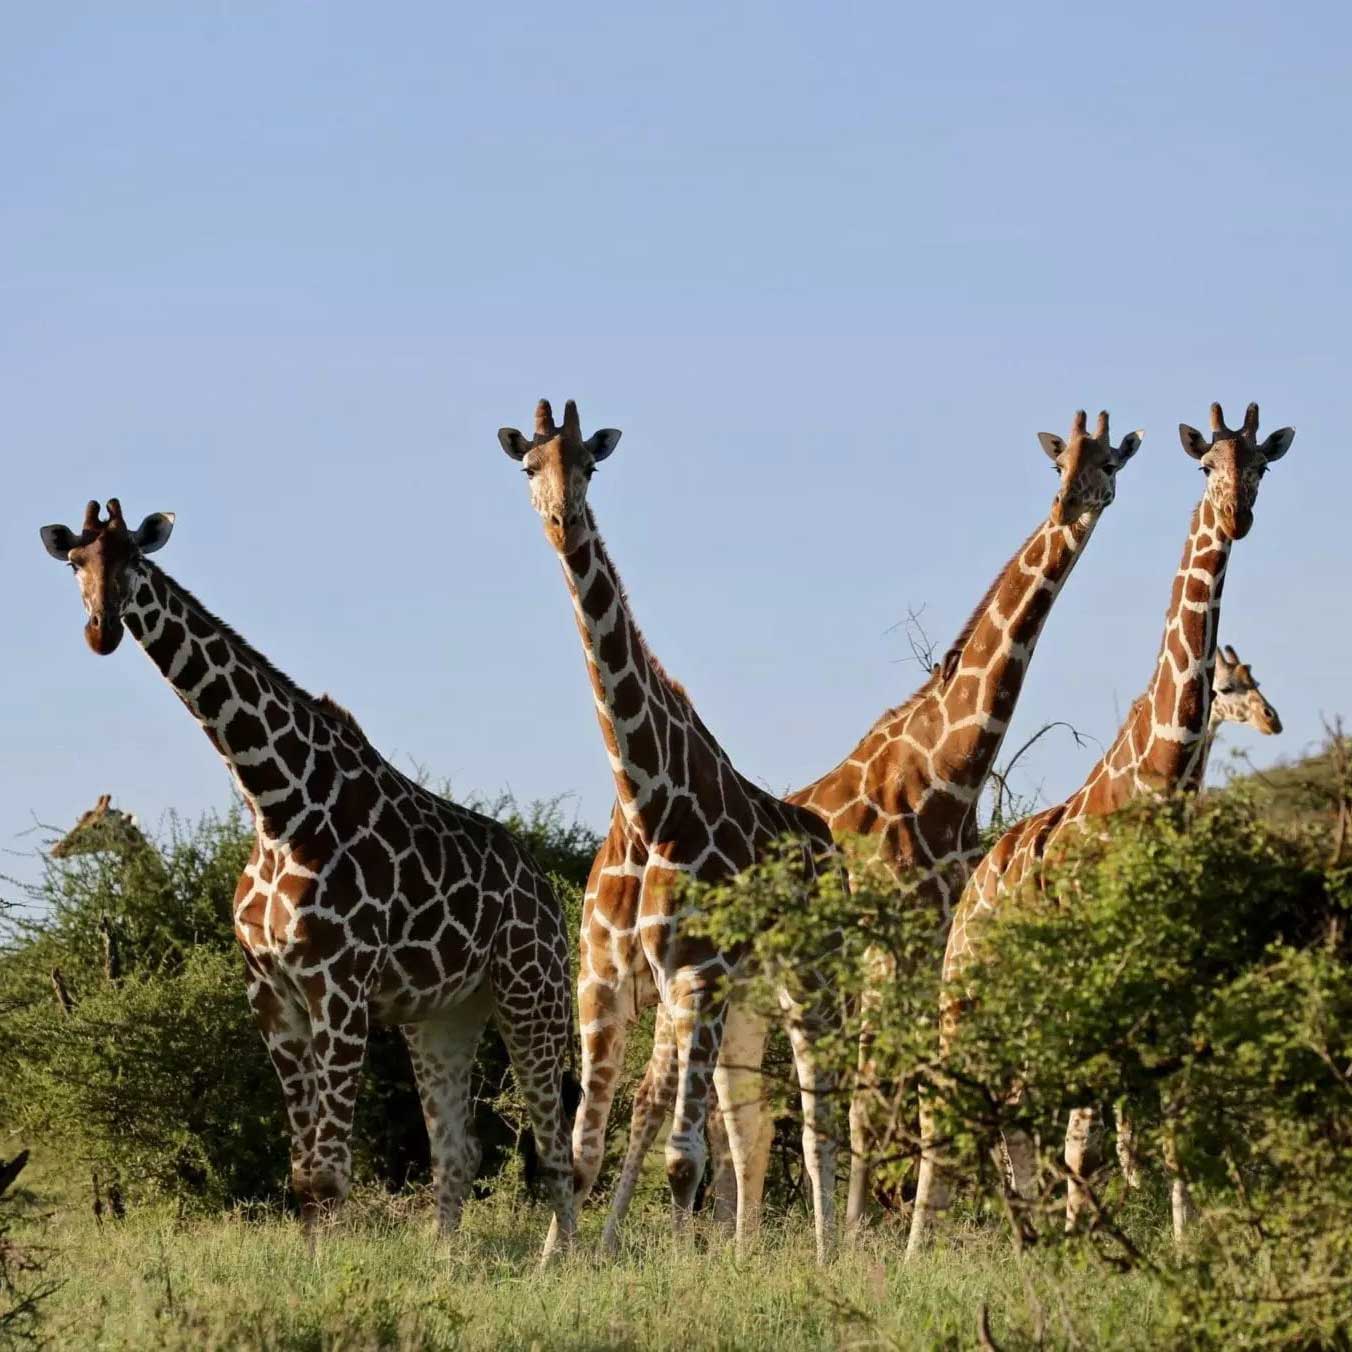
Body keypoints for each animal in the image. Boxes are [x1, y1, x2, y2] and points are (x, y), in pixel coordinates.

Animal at [37, 497, 575, 1254]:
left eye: (135, 560)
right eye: (76, 562)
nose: (101, 630)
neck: (278, 805)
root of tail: (547, 893)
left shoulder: (339, 990)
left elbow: (329, 1167)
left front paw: (331, 1271)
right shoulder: (272, 997)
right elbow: (301, 1171)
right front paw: (314, 1262)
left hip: (532, 992)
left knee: (556, 1141)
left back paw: (563, 1261)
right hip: (444, 1014)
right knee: (458, 1148)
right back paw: (445, 1260)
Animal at [497, 394, 838, 1260]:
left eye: (590, 463)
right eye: (529, 465)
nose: (564, 522)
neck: (652, 803)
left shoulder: (696, 971)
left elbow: (682, 1159)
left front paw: (684, 1269)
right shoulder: (606, 981)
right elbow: (582, 1151)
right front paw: (558, 1265)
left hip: (805, 974)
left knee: (812, 1113)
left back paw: (834, 1252)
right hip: (742, 998)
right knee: (747, 1123)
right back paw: (750, 1249)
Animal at [581, 408, 1141, 1238]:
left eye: (1109, 461)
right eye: (1059, 463)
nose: (1077, 500)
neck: (947, 768)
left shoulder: (924, 944)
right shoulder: (882, 951)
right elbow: (874, 1097)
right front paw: (863, 1236)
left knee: (730, 1109)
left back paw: (723, 1238)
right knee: (675, 1101)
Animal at [903, 400, 1292, 1254]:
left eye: (1260, 466)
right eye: (1206, 465)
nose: (1238, 517)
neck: (1159, 778)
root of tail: (977, 882)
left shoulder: (1171, 973)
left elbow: (1166, 1115)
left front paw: (1175, 1240)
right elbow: (1100, 1119)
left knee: (1014, 1098)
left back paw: (1031, 1231)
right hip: (964, 986)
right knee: (948, 1092)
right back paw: (926, 1243)